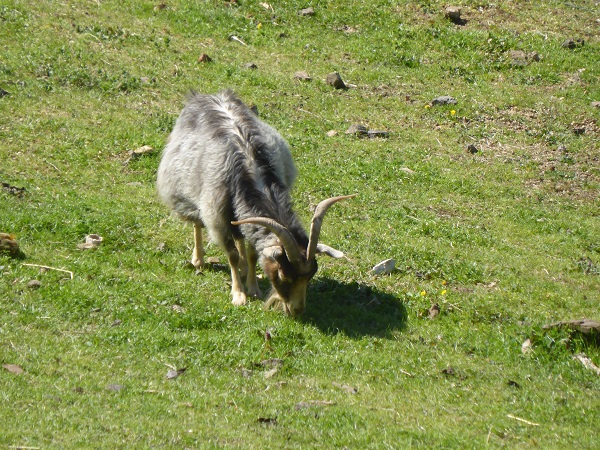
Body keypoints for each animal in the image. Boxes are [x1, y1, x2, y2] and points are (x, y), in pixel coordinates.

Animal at [156, 90, 356, 316]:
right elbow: (232, 255)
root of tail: (205, 96)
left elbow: (252, 254)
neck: (253, 174)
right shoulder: (217, 218)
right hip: (186, 191)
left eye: (310, 276)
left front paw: (253, 288)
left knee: (240, 235)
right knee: (197, 223)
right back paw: (198, 259)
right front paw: (238, 295)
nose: (296, 311)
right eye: (284, 275)